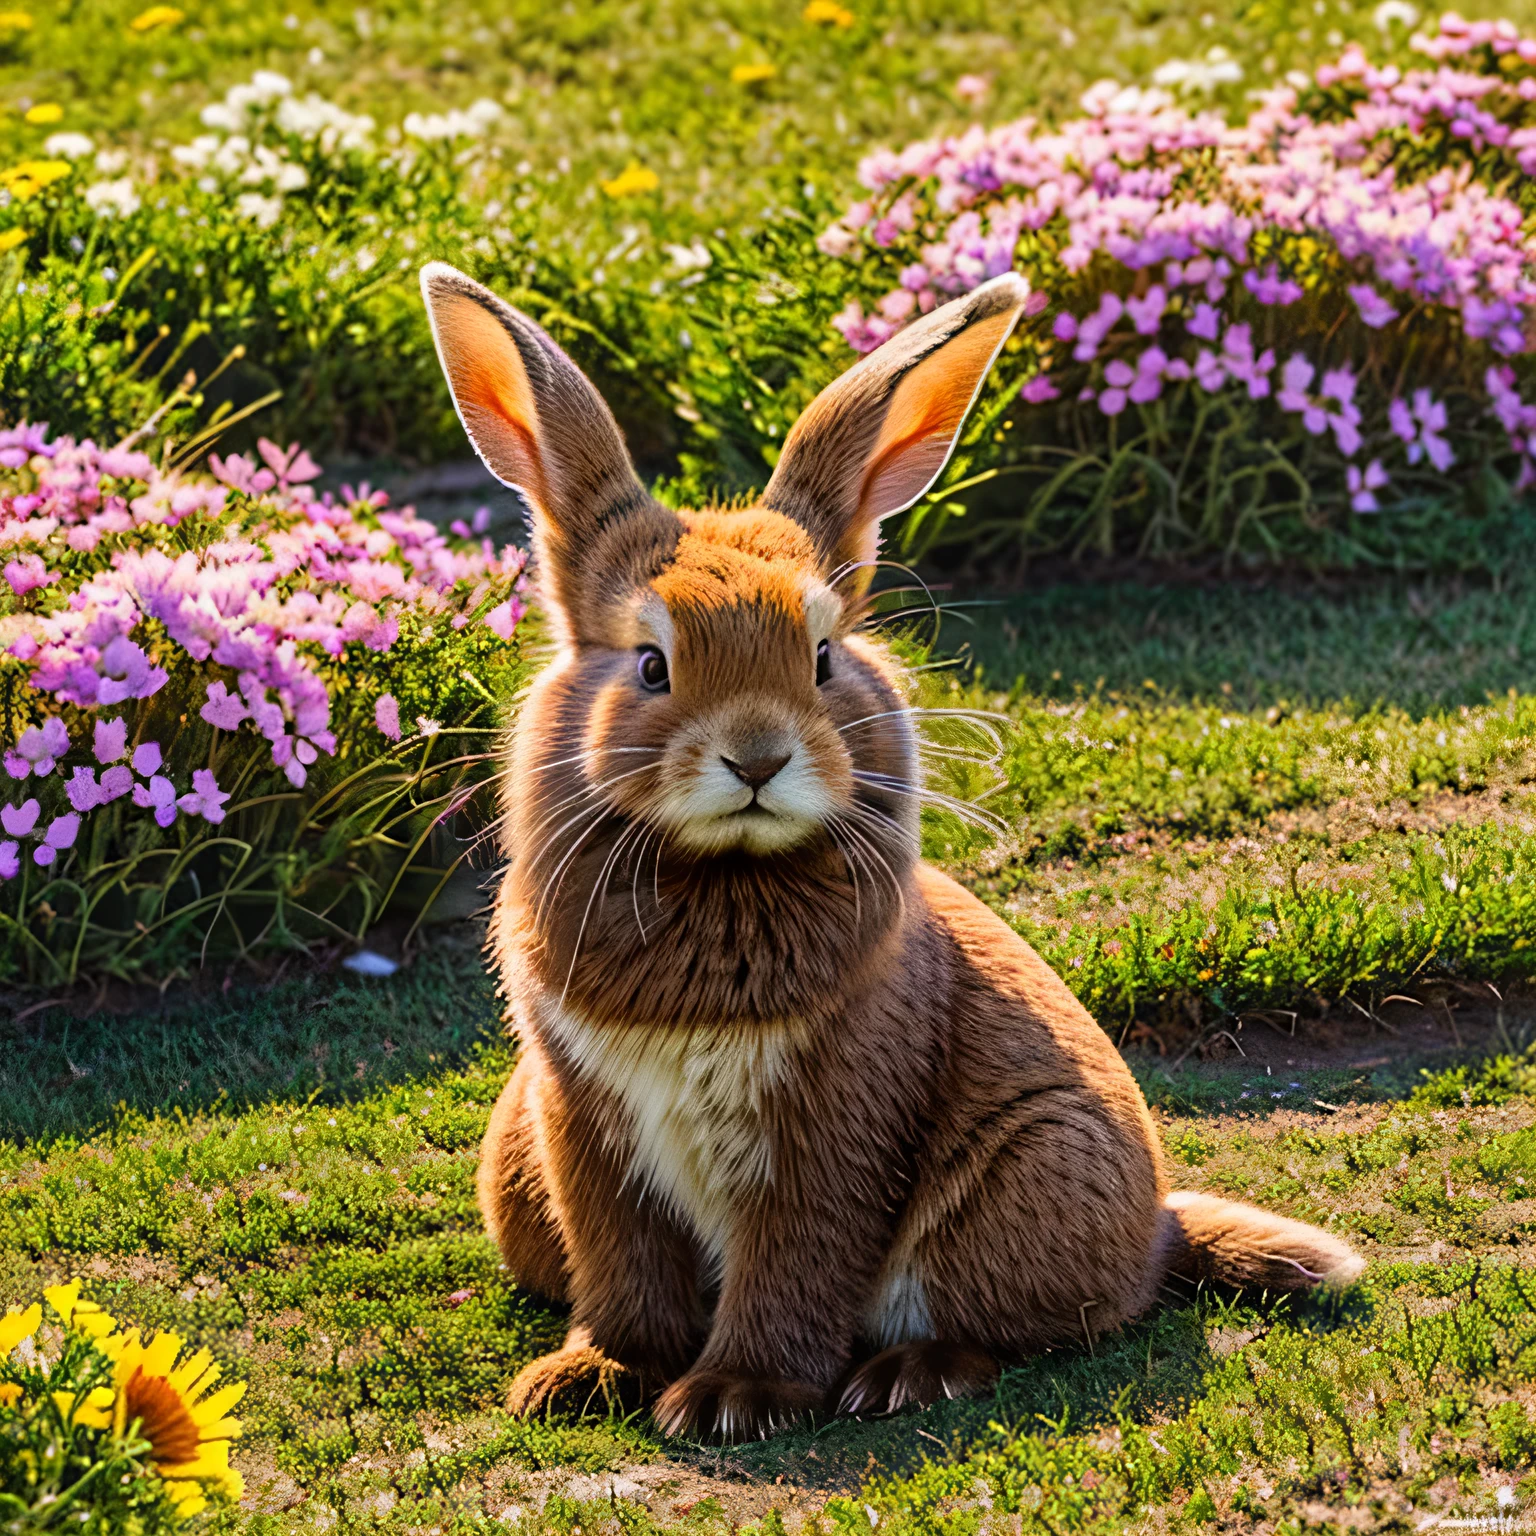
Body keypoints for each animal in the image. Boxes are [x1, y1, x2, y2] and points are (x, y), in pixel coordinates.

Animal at [417, 261, 1357, 1437]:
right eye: (649, 663)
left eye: (823, 655)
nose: (758, 757)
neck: (729, 871)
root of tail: (1157, 1230)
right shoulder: (583, 1116)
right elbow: (626, 1265)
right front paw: (591, 1378)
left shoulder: (834, 1121)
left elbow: (798, 1261)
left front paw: (732, 1399)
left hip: (1028, 1169)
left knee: (1024, 1324)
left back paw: (909, 1375)